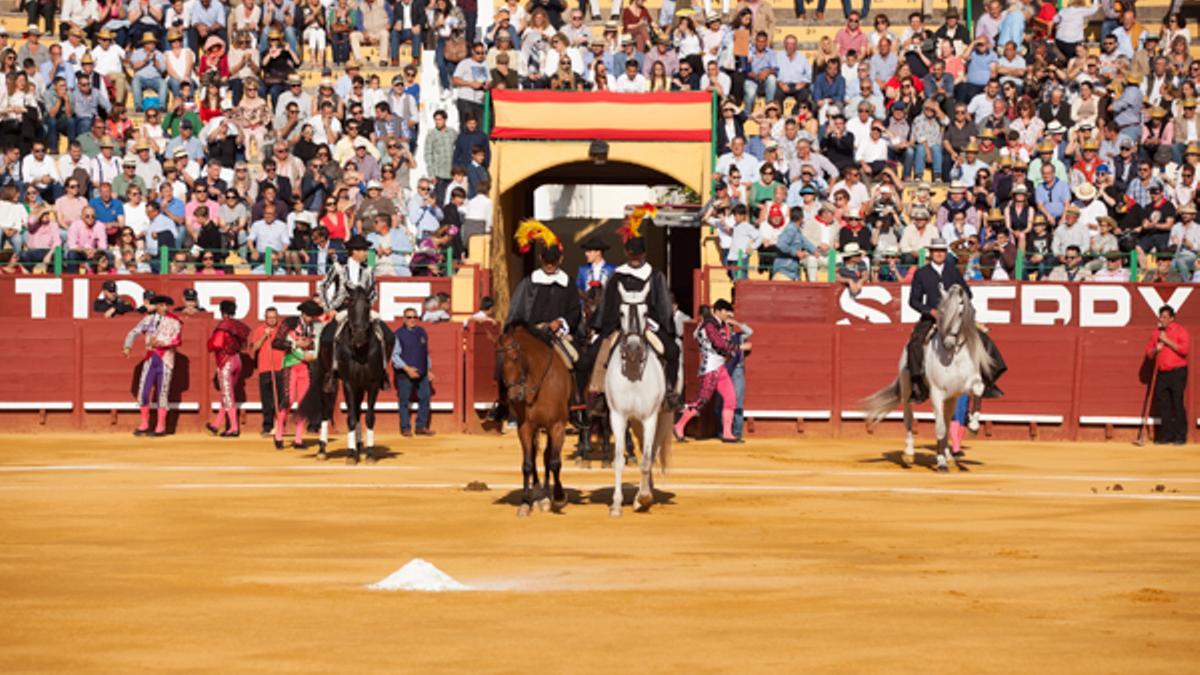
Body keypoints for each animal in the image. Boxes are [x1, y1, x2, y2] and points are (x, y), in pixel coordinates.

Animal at [302, 283, 396, 461]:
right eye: (350, 304)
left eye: (367, 306)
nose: (359, 336)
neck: (360, 350)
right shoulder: (348, 383)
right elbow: (350, 417)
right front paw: (351, 454)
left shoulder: (372, 383)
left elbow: (369, 417)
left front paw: (369, 453)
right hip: (323, 378)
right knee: (325, 411)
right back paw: (322, 449)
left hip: (360, 385)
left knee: (358, 410)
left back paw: (359, 446)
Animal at [496, 321, 571, 514]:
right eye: (498, 361)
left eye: (515, 358)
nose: (514, 396)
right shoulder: (525, 427)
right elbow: (528, 464)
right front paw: (525, 502)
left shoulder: (557, 426)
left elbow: (554, 462)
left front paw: (559, 497)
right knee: (538, 454)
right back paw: (540, 494)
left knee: (547, 456)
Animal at [604, 283, 672, 514]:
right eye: (621, 313)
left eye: (645, 313)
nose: (633, 347)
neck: (633, 371)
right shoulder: (618, 416)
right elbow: (619, 460)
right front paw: (616, 504)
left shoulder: (650, 418)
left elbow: (646, 460)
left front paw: (643, 497)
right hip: (634, 422)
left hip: (662, 419)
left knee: (652, 453)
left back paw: (645, 496)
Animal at [864, 285, 993, 470]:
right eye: (942, 311)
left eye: (961, 313)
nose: (948, 343)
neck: (953, 356)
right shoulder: (936, 393)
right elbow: (939, 428)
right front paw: (940, 462)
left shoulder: (964, 386)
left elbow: (978, 389)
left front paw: (974, 425)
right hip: (907, 389)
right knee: (909, 419)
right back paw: (909, 454)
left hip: (951, 399)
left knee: (947, 421)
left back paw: (949, 456)